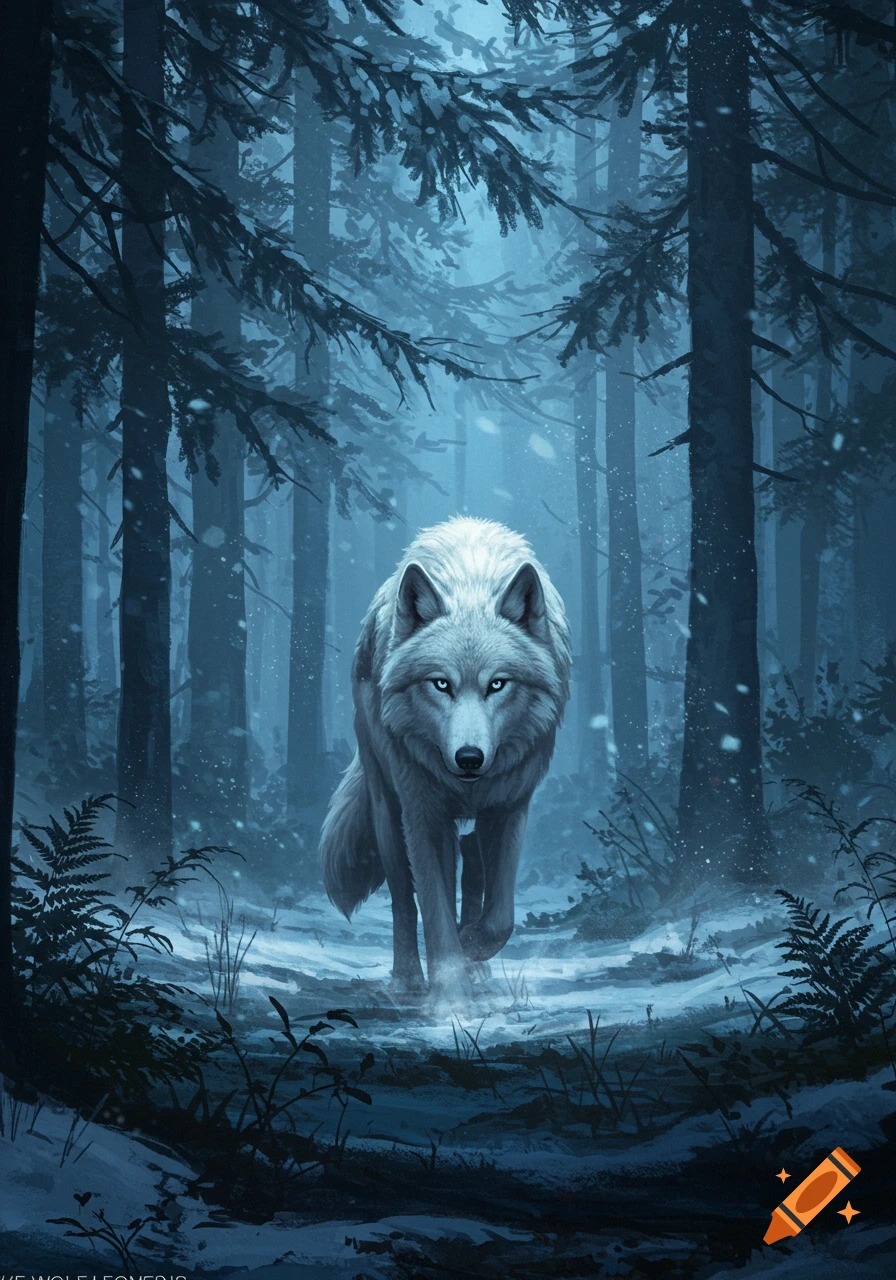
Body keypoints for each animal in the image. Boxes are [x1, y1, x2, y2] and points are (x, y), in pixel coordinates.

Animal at [320, 516, 571, 1001]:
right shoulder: (422, 813)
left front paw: (472, 948)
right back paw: (407, 979)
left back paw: (478, 968)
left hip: (471, 829)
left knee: (472, 879)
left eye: (498, 684)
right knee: (403, 896)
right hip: (387, 813)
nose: (469, 757)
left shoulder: (511, 806)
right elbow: (432, 908)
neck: (471, 584)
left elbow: (501, 915)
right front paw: (450, 994)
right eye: (441, 684)